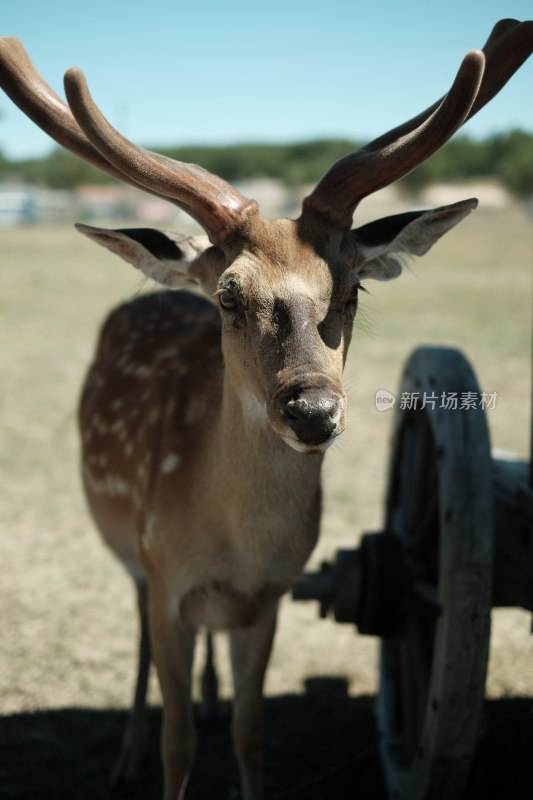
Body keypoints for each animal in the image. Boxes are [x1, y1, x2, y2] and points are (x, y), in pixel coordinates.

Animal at [2, 17, 528, 800]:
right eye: (228, 295)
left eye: (351, 290)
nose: (312, 410)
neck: (234, 547)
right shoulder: (164, 577)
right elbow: (178, 740)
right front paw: (158, 753)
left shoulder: (272, 597)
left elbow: (253, 733)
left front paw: (231, 723)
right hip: (129, 552)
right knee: (139, 645)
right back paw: (126, 757)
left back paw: (211, 699)